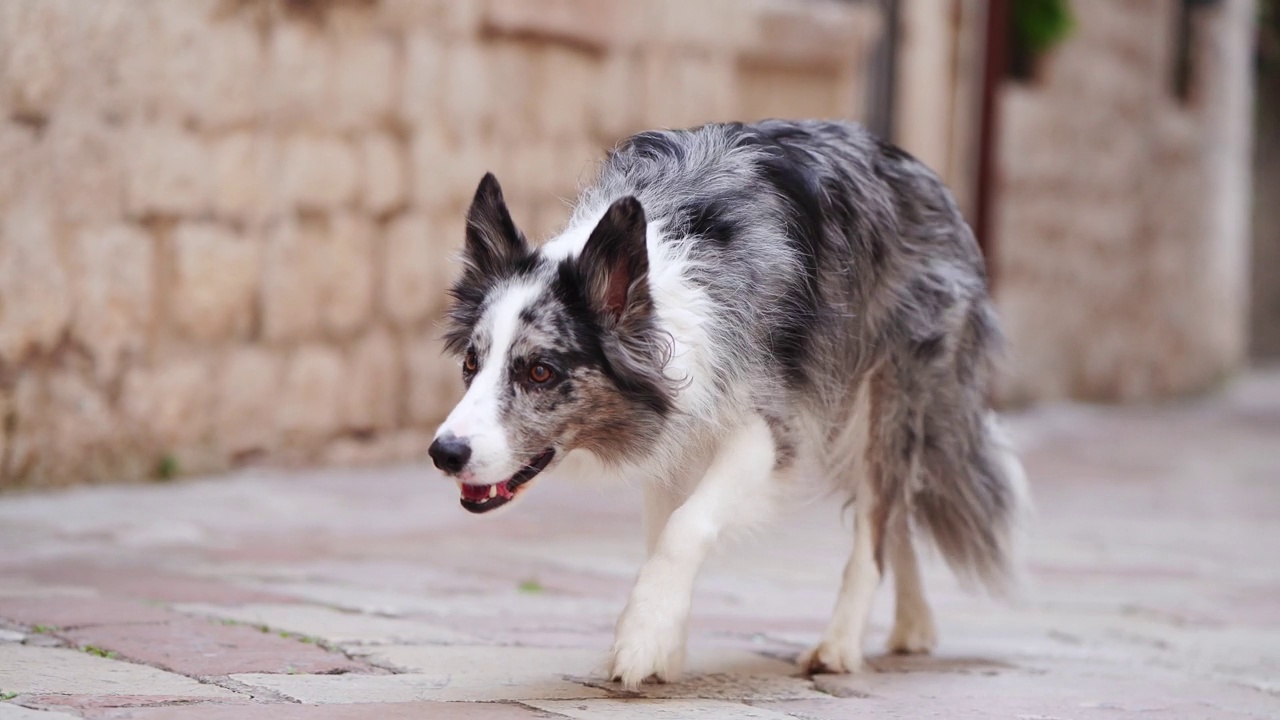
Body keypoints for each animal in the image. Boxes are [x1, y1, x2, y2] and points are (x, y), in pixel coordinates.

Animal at [430, 120, 1029, 686]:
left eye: (539, 371)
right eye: (470, 364)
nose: (444, 453)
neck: (664, 294)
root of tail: (923, 176)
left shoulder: (770, 426)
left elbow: (686, 526)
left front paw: (643, 636)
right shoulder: (675, 429)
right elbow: (660, 533)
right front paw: (666, 645)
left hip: (886, 397)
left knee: (876, 523)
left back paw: (839, 646)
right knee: (896, 512)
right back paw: (913, 624)